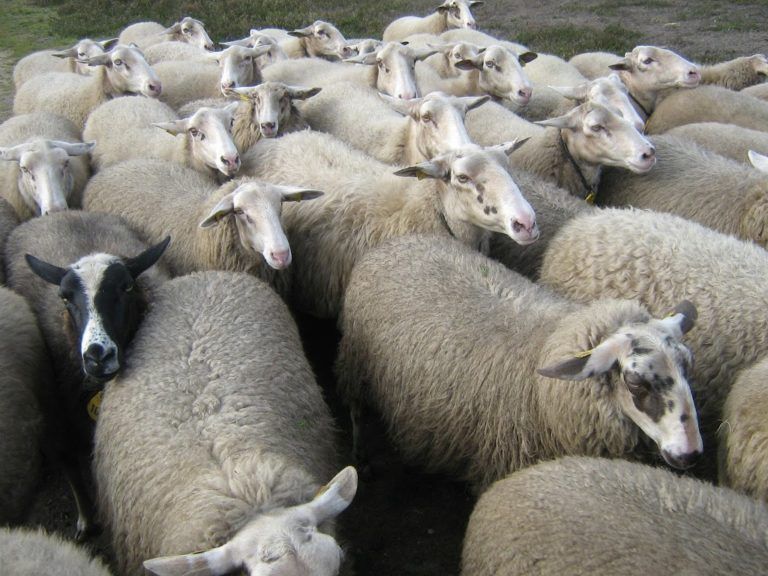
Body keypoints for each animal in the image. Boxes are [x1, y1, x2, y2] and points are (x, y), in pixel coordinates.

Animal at [5, 210, 171, 538]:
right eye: (65, 297)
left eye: (127, 287)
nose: (97, 355)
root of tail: (62, 212)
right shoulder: (57, 421)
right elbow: (73, 470)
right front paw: (86, 519)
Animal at [335, 234, 702, 490]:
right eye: (635, 381)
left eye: (688, 365)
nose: (691, 453)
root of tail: (396, 243)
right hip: (357, 361)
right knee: (355, 407)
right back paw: (361, 457)